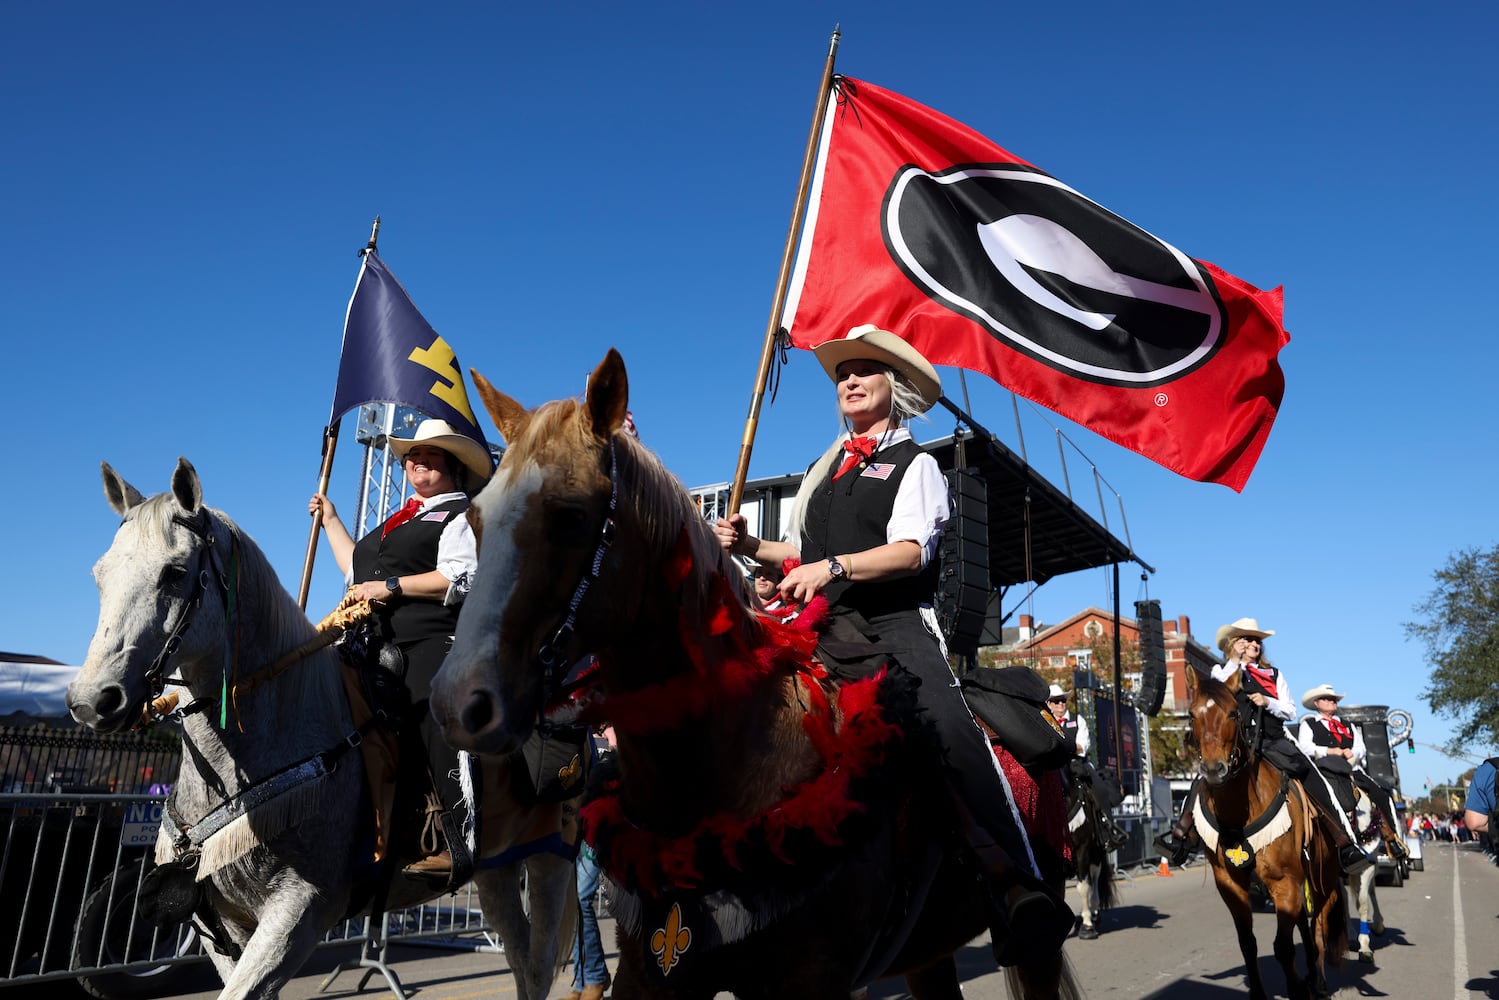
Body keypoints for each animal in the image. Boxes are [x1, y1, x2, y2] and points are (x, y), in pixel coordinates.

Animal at [67, 458, 575, 1000]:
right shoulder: (222, 924)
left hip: (549, 859)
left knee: (538, 962)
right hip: (497, 870)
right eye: (99, 574)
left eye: (175, 572)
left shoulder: (302, 910)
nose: (92, 701)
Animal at [431, 347, 1079, 995]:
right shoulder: (652, 968)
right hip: (927, 954)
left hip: (1036, 946)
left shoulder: (810, 980)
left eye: (568, 515)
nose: (459, 701)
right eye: (476, 519)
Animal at [1181, 665, 1349, 1000]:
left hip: (1323, 881)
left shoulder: (1284, 882)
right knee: (1305, 927)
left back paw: (1319, 982)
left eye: (1234, 712)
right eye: (1192, 714)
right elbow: (1248, 944)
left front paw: (1297, 988)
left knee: (1318, 927)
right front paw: (1262, 992)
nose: (1214, 769)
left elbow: (1283, 947)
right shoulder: (1231, 885)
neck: (1239, 811)